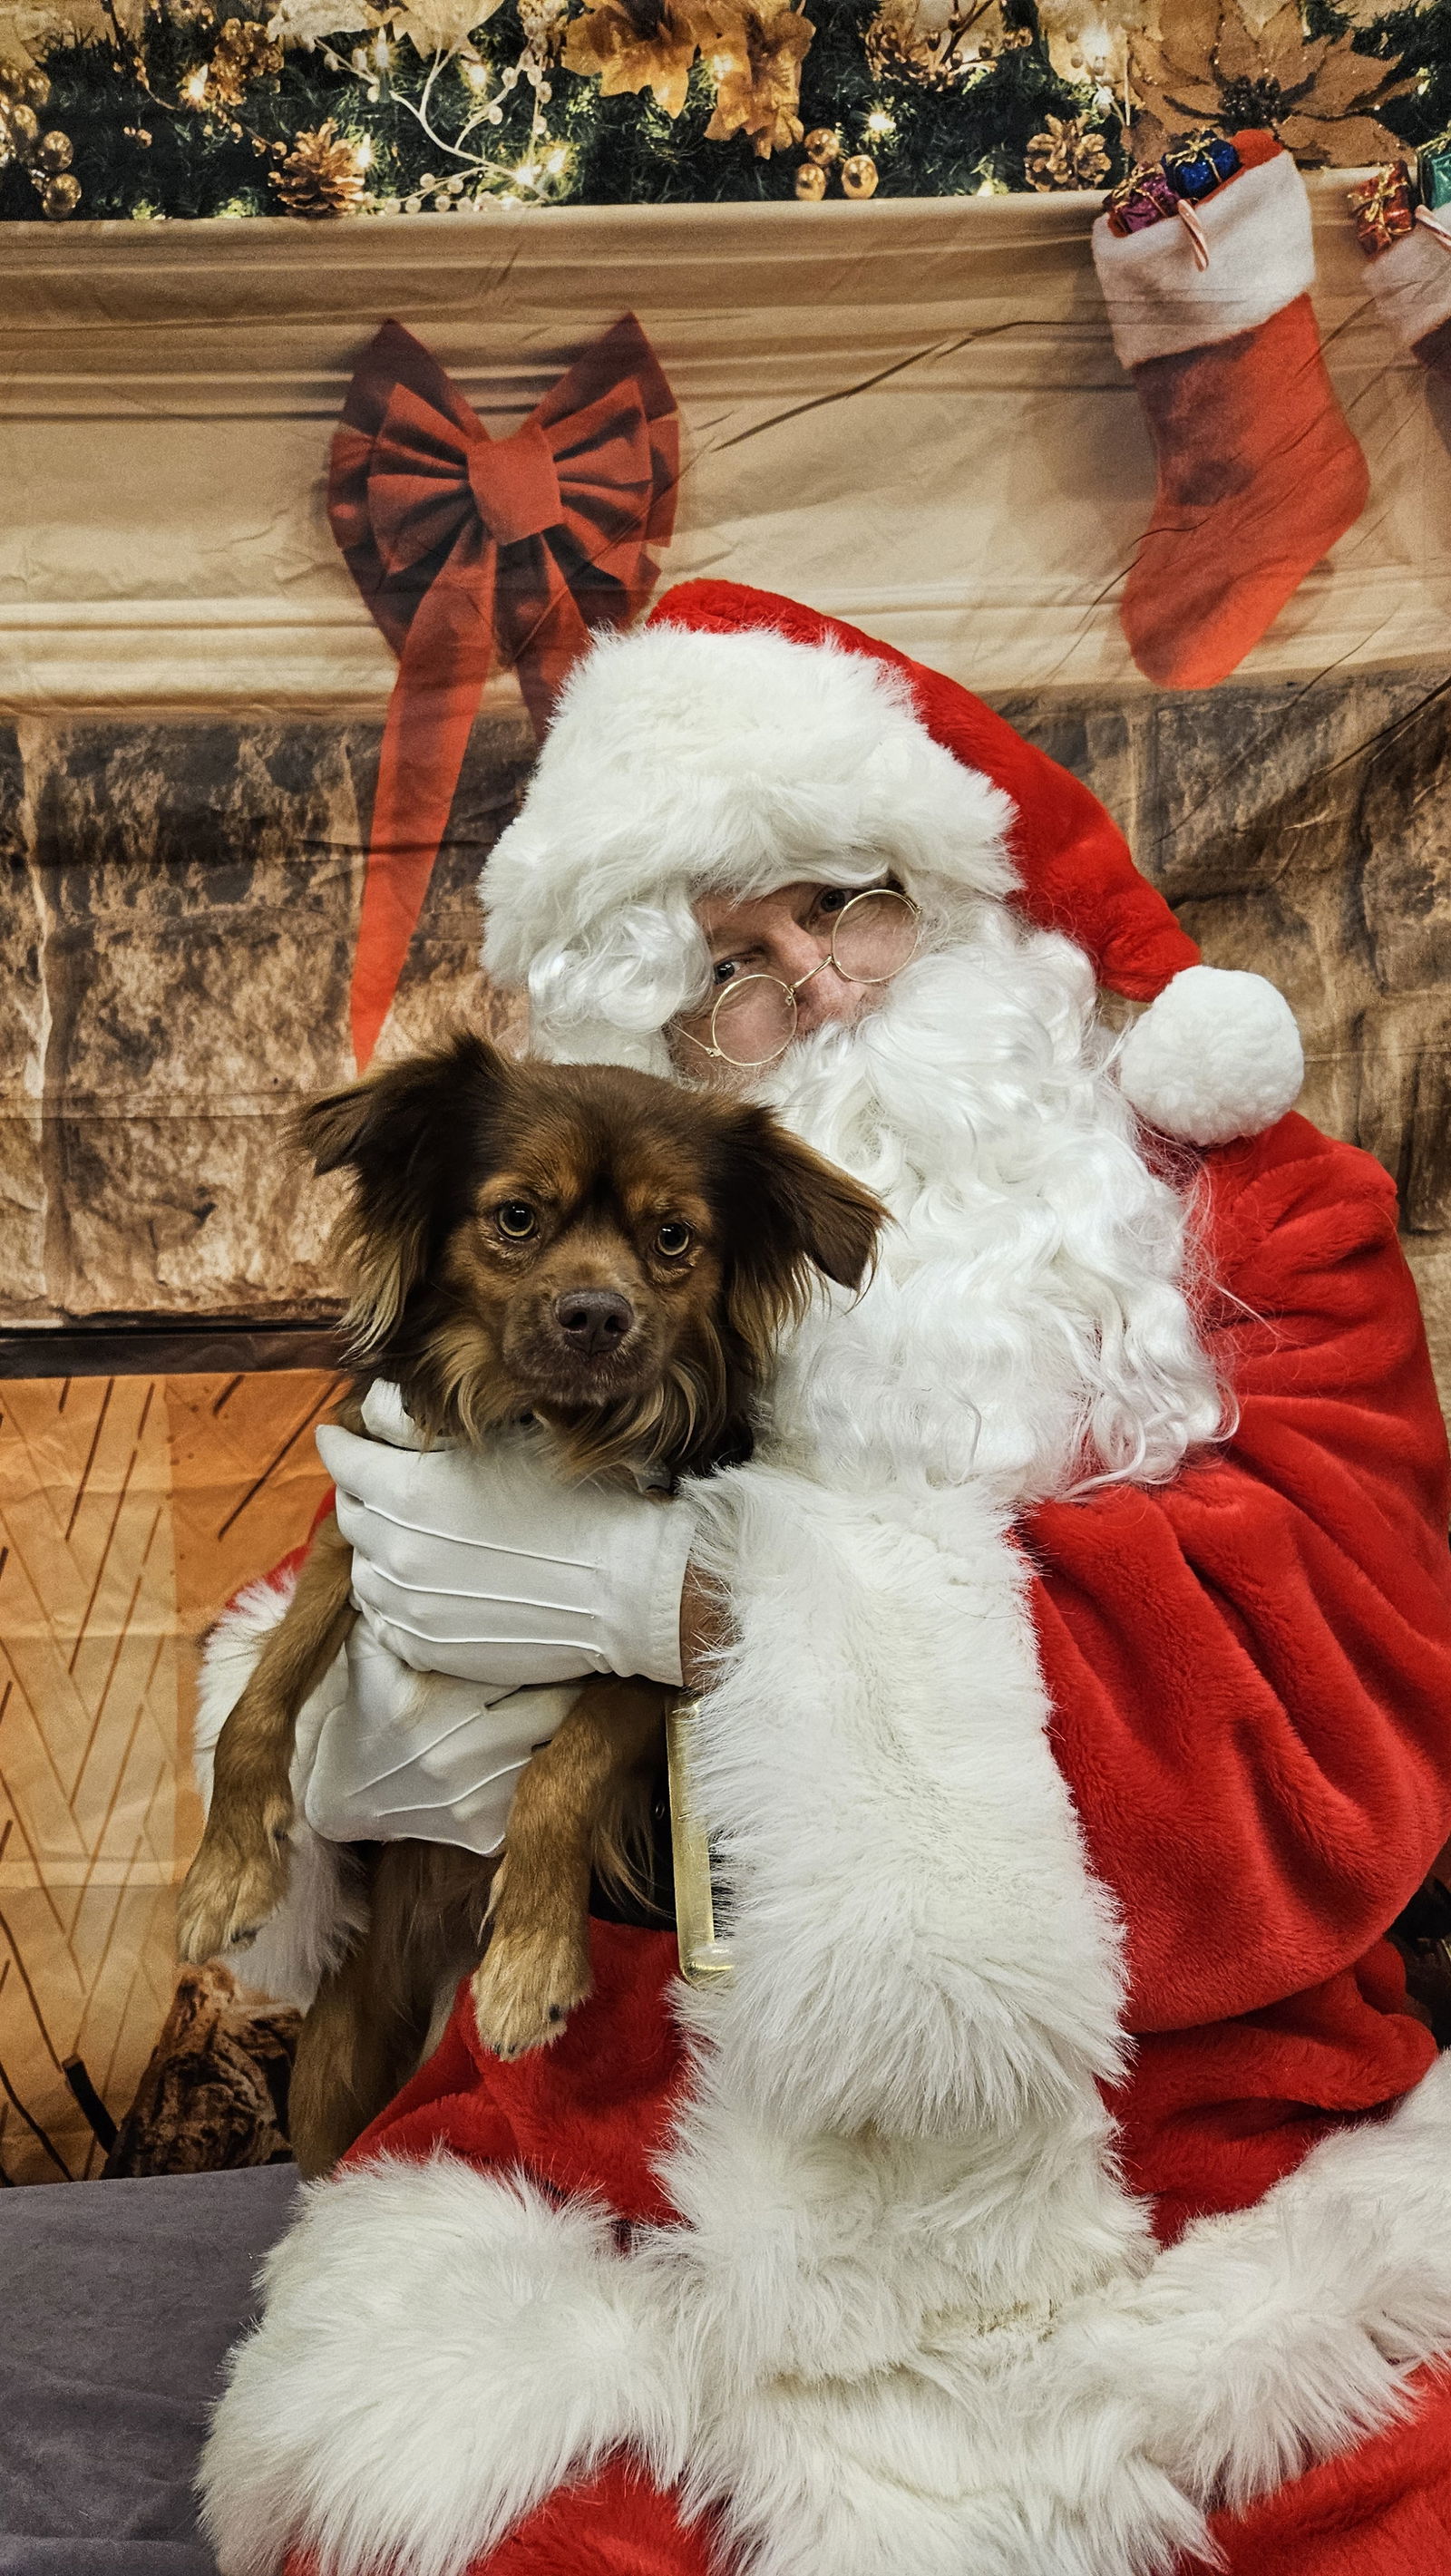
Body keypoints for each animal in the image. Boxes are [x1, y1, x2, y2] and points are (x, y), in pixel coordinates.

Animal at [176, 1025, 881, 2173]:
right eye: (516, 1217)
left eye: (673, 1238)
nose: (596, 1313)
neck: (542, 1427)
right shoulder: (355, 1536)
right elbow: (261, 1694)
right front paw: (226, 1872)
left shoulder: (661, 1650)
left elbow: (565, 1769)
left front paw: (534, 1959)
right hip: (333, 2072)